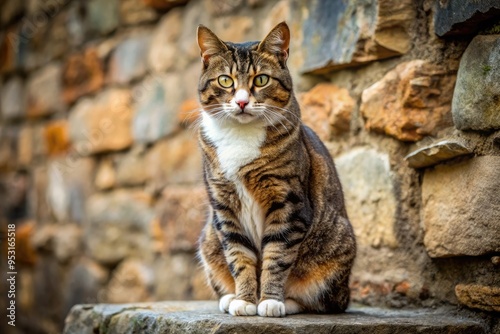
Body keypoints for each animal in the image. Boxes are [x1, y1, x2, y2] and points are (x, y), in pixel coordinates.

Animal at [195, 22, 356, 318]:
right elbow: (239, 255)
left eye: (261, 80)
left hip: (336, 247)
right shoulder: (224, 207)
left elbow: (277, 255)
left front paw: (268, 301)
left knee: (323, 302)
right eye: (225, 80)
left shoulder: (288, 203)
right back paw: (229, 298)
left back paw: (288, 302)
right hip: (208, 237)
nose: (242, 102)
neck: (241, 136)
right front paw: (245, 300)